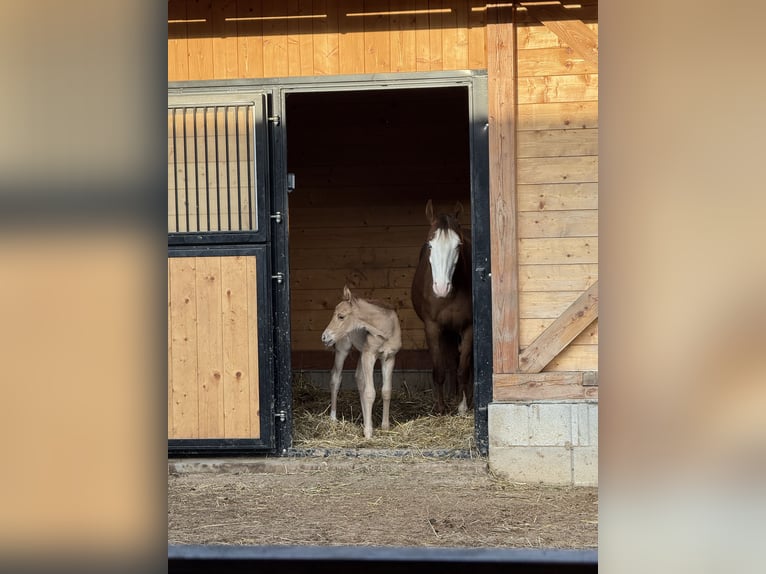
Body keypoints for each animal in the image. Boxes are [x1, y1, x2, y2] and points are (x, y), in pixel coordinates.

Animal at [320, 285, 402, 439]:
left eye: (341, 316)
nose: (324, 337)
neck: (385, 329)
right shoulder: (369, 355)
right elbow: (370, 393)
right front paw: (369, 432)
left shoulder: (389, 358)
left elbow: (386, 391)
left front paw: (385, 427)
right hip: (343, 348)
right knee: (336, 378)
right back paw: (333, 418)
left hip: (361, 352)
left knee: (359, 378)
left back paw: (365, 420)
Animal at [411, 199, 473, 415]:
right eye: (430, 244)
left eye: (458, 245)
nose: (441, 288)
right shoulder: (433, 327)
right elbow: (439, 369)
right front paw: (440, 407)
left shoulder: (469, 327)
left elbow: (464, 370)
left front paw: (463, 406)